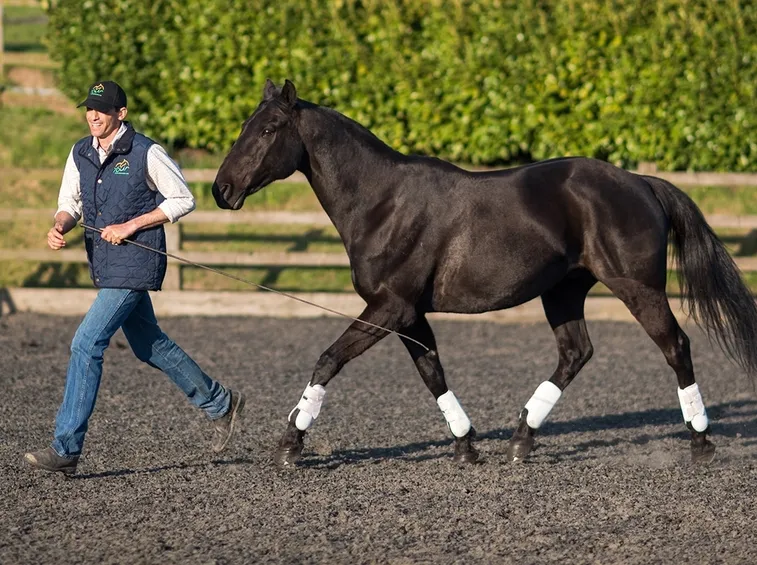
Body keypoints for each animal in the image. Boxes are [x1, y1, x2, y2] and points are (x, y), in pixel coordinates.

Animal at [212, 79, 757, 468]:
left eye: (268, 129)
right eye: (242, 125)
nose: (222, 189)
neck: (382, 203)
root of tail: (641, 182)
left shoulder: (389, 307)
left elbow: (328, 360)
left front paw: (289, 445)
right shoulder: (409, 314)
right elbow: (432, 373)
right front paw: (466, 446)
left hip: (637, 288)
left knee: (675, 346)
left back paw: (701, 443)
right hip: (563, 291)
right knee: (576, 353)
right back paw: (521, 440)